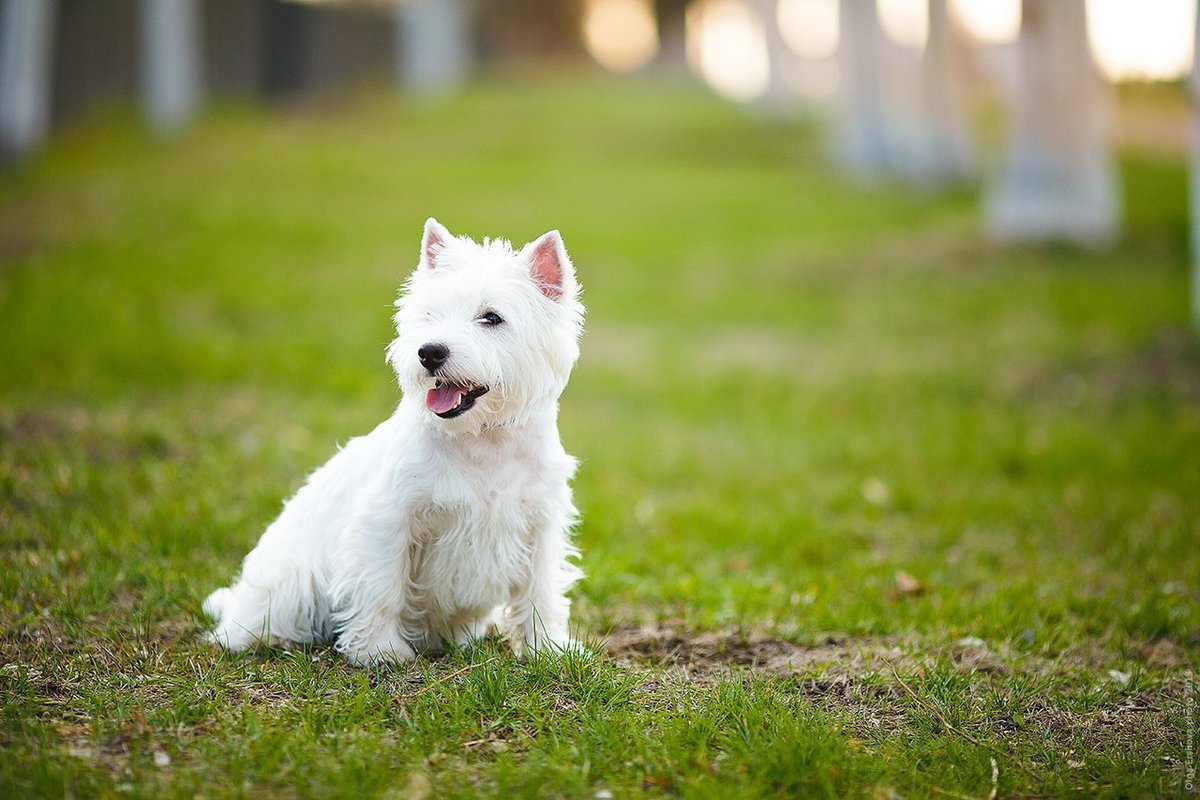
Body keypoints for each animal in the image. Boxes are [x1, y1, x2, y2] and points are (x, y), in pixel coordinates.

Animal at [205, 219, 585, 671]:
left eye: (491, 317)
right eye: (429, 314)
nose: (430, 352)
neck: (483, 441)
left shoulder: (539, 525)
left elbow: (540, 592)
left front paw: (549, 650)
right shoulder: (388, 520)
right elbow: (382, 586)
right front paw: (379, 652)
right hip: (290, 582)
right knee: (247, 626)